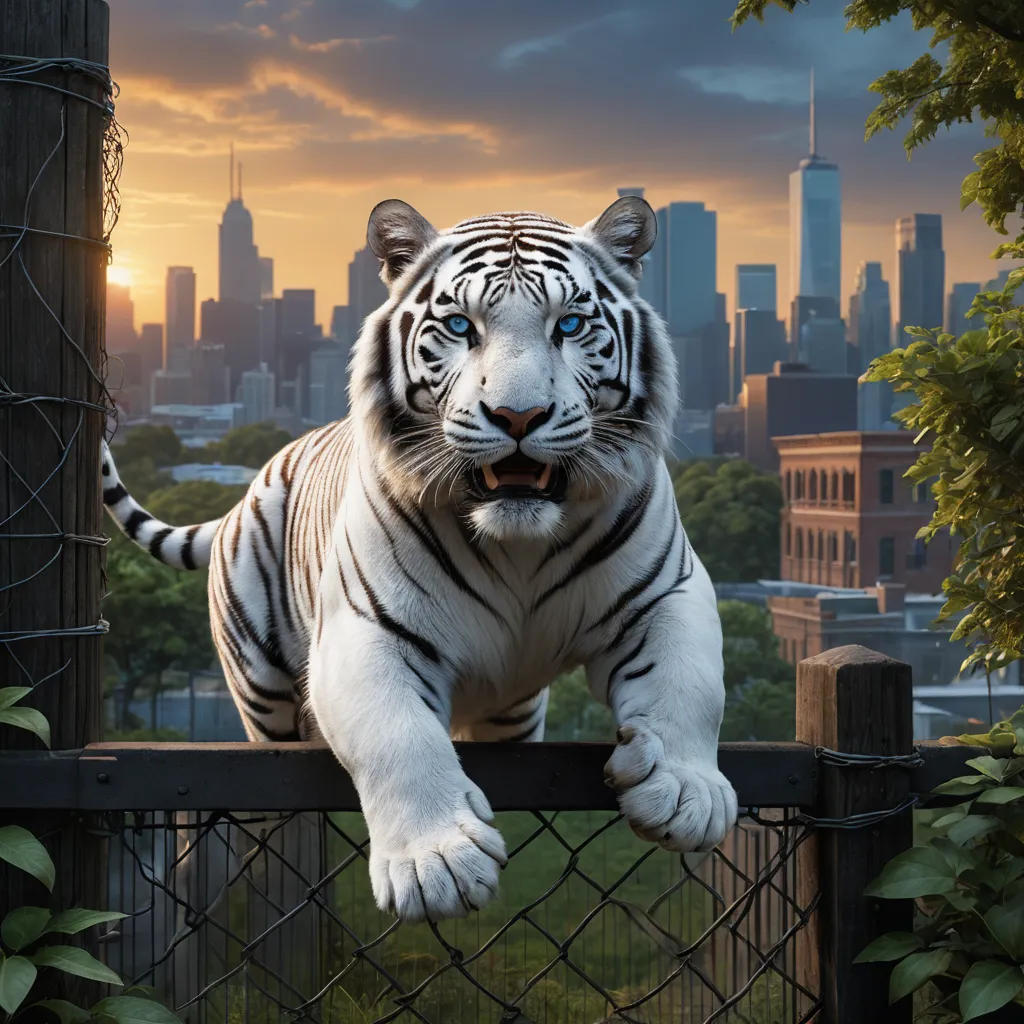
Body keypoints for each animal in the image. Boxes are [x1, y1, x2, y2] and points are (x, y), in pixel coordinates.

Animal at [101, 196, 738, 922]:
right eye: (461, 326)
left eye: (570, 324)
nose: (519, 415)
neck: (518, 541)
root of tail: (243, 492)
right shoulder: (368, 630)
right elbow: (397, 735)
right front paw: (436, 864)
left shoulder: (668, 593)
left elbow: (692, 684)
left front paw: (687, 795)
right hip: (263, 691)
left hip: (513, 712)